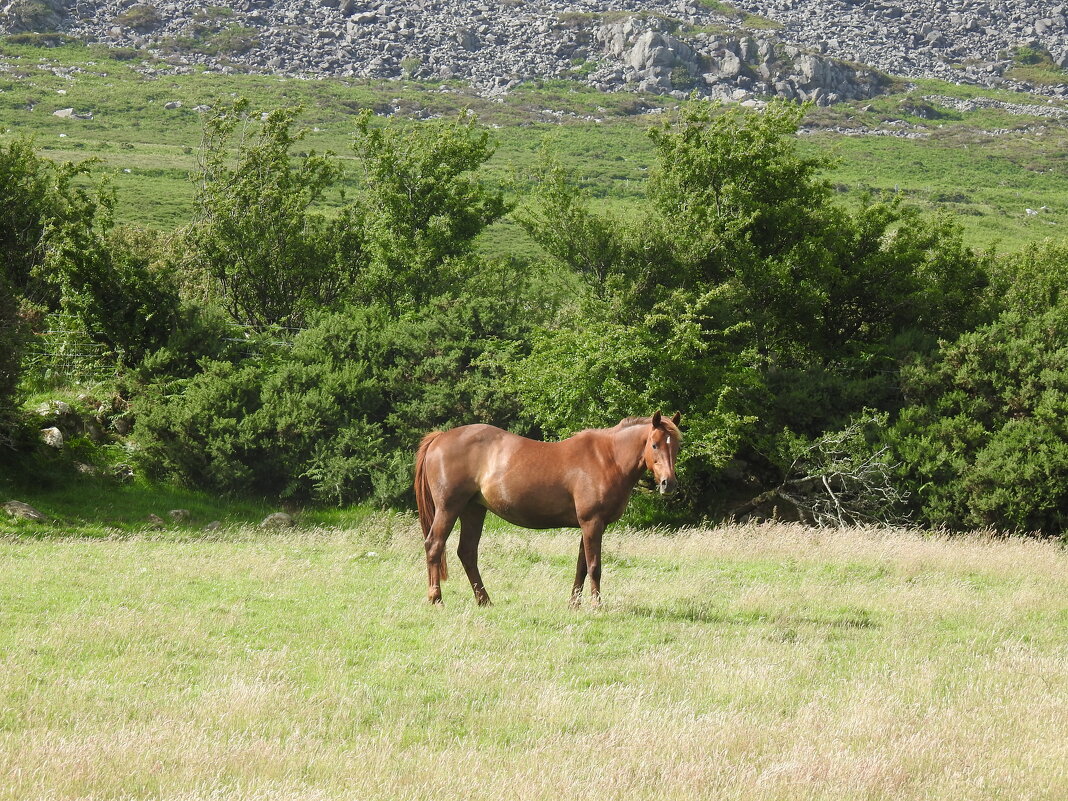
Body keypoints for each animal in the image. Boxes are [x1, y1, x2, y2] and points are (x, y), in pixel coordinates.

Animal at [412, 416, 679, 606]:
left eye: (676, 445)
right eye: (654, 444)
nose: (669, 484)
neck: (608, 458)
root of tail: (440, 438)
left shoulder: (588, 525)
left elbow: (582, 566)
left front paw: (574, 605)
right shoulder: (592, 522)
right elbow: (594, 567)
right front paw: (597, 606)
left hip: (473, 510)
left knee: (467, 552)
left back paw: (484, 601)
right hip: (449, 507)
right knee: (434, 545)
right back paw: (436, 599)